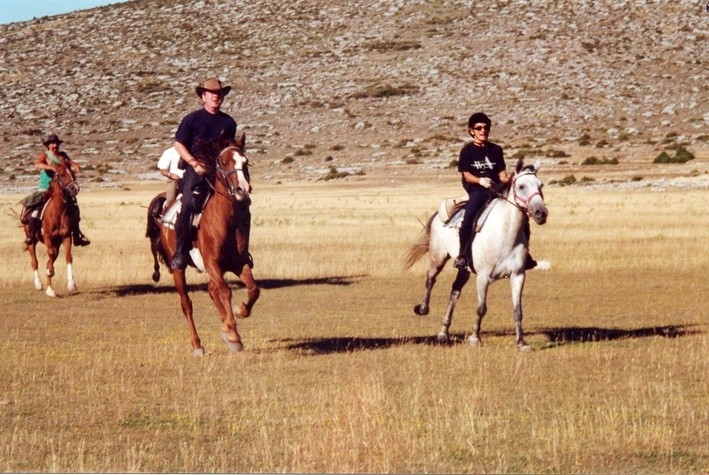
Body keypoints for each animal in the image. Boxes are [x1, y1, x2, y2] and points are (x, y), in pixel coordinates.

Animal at [24, 164, 81, 298]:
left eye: (73, 173)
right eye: (62, 174)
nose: (75, 188)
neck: (58, 211)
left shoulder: (66, 236)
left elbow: (68, 257)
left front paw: (71, 284)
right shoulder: (48, 237)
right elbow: (50, 254)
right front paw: (49, 274)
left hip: (57, 242)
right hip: (31, 241)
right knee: (34, 262)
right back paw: (38, 284)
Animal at [145, 132, 258, 356]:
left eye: (245, 161)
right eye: (223, 162)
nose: (242, 190)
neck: (226, 220)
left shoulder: (239, 263)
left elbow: (253, 289)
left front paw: (239, 314)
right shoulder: (212, 263)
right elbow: (225, 291)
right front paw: (233, 333)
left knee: (211, 289)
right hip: (178, 268)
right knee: (187, 303)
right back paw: (197, 345)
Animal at [404, 159, 548, 350]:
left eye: (541, 185)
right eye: (521, 186)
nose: (541, 213)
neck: (505, 234)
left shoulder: (518, 275)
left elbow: (518, 310)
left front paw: (521, 343)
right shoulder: (483, 277)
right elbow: (481, 308)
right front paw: (474, 338)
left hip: (464, 269)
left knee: (454, 292)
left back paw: (443, 332)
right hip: (438, 258)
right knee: (430, 279)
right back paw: (423, 309)